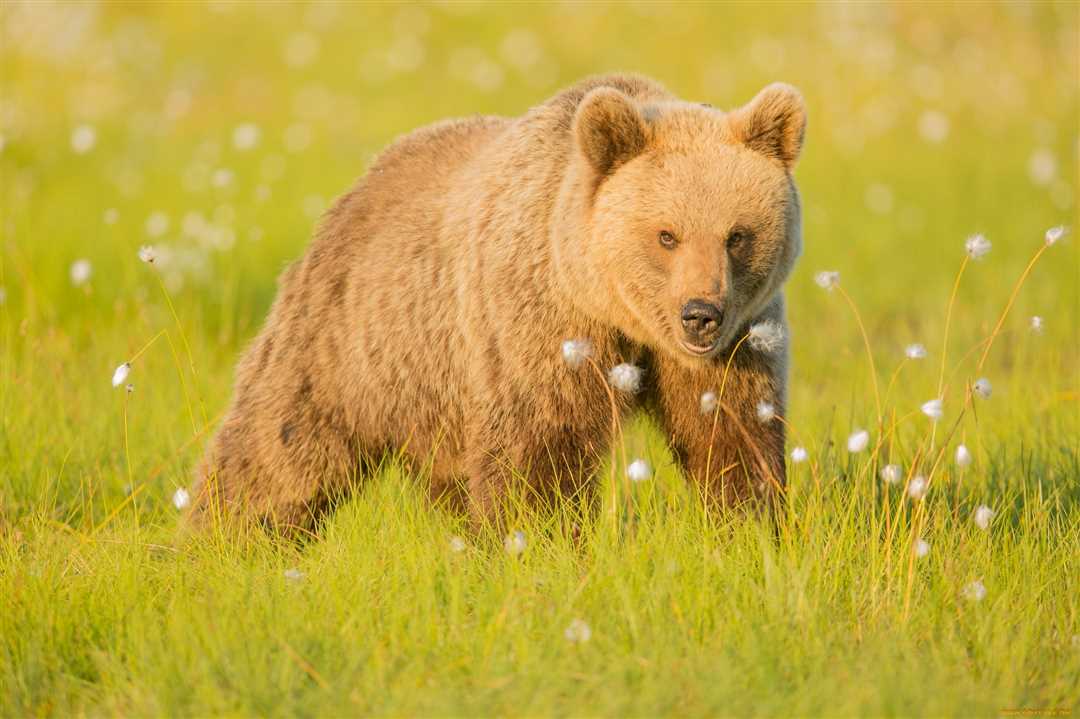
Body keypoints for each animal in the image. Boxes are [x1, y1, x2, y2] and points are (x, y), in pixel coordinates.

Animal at [190, 73, 806, 533]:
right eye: (666, 235)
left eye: (737, 235)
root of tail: (362, 184)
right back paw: (220, 542)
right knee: (278, 451)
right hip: (349, 340)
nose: (700, 314)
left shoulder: (738, 343)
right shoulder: (536, 323)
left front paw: (749, 525)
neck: (611, 308)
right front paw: (540, 541)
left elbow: (731, 432)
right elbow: (539, 449)